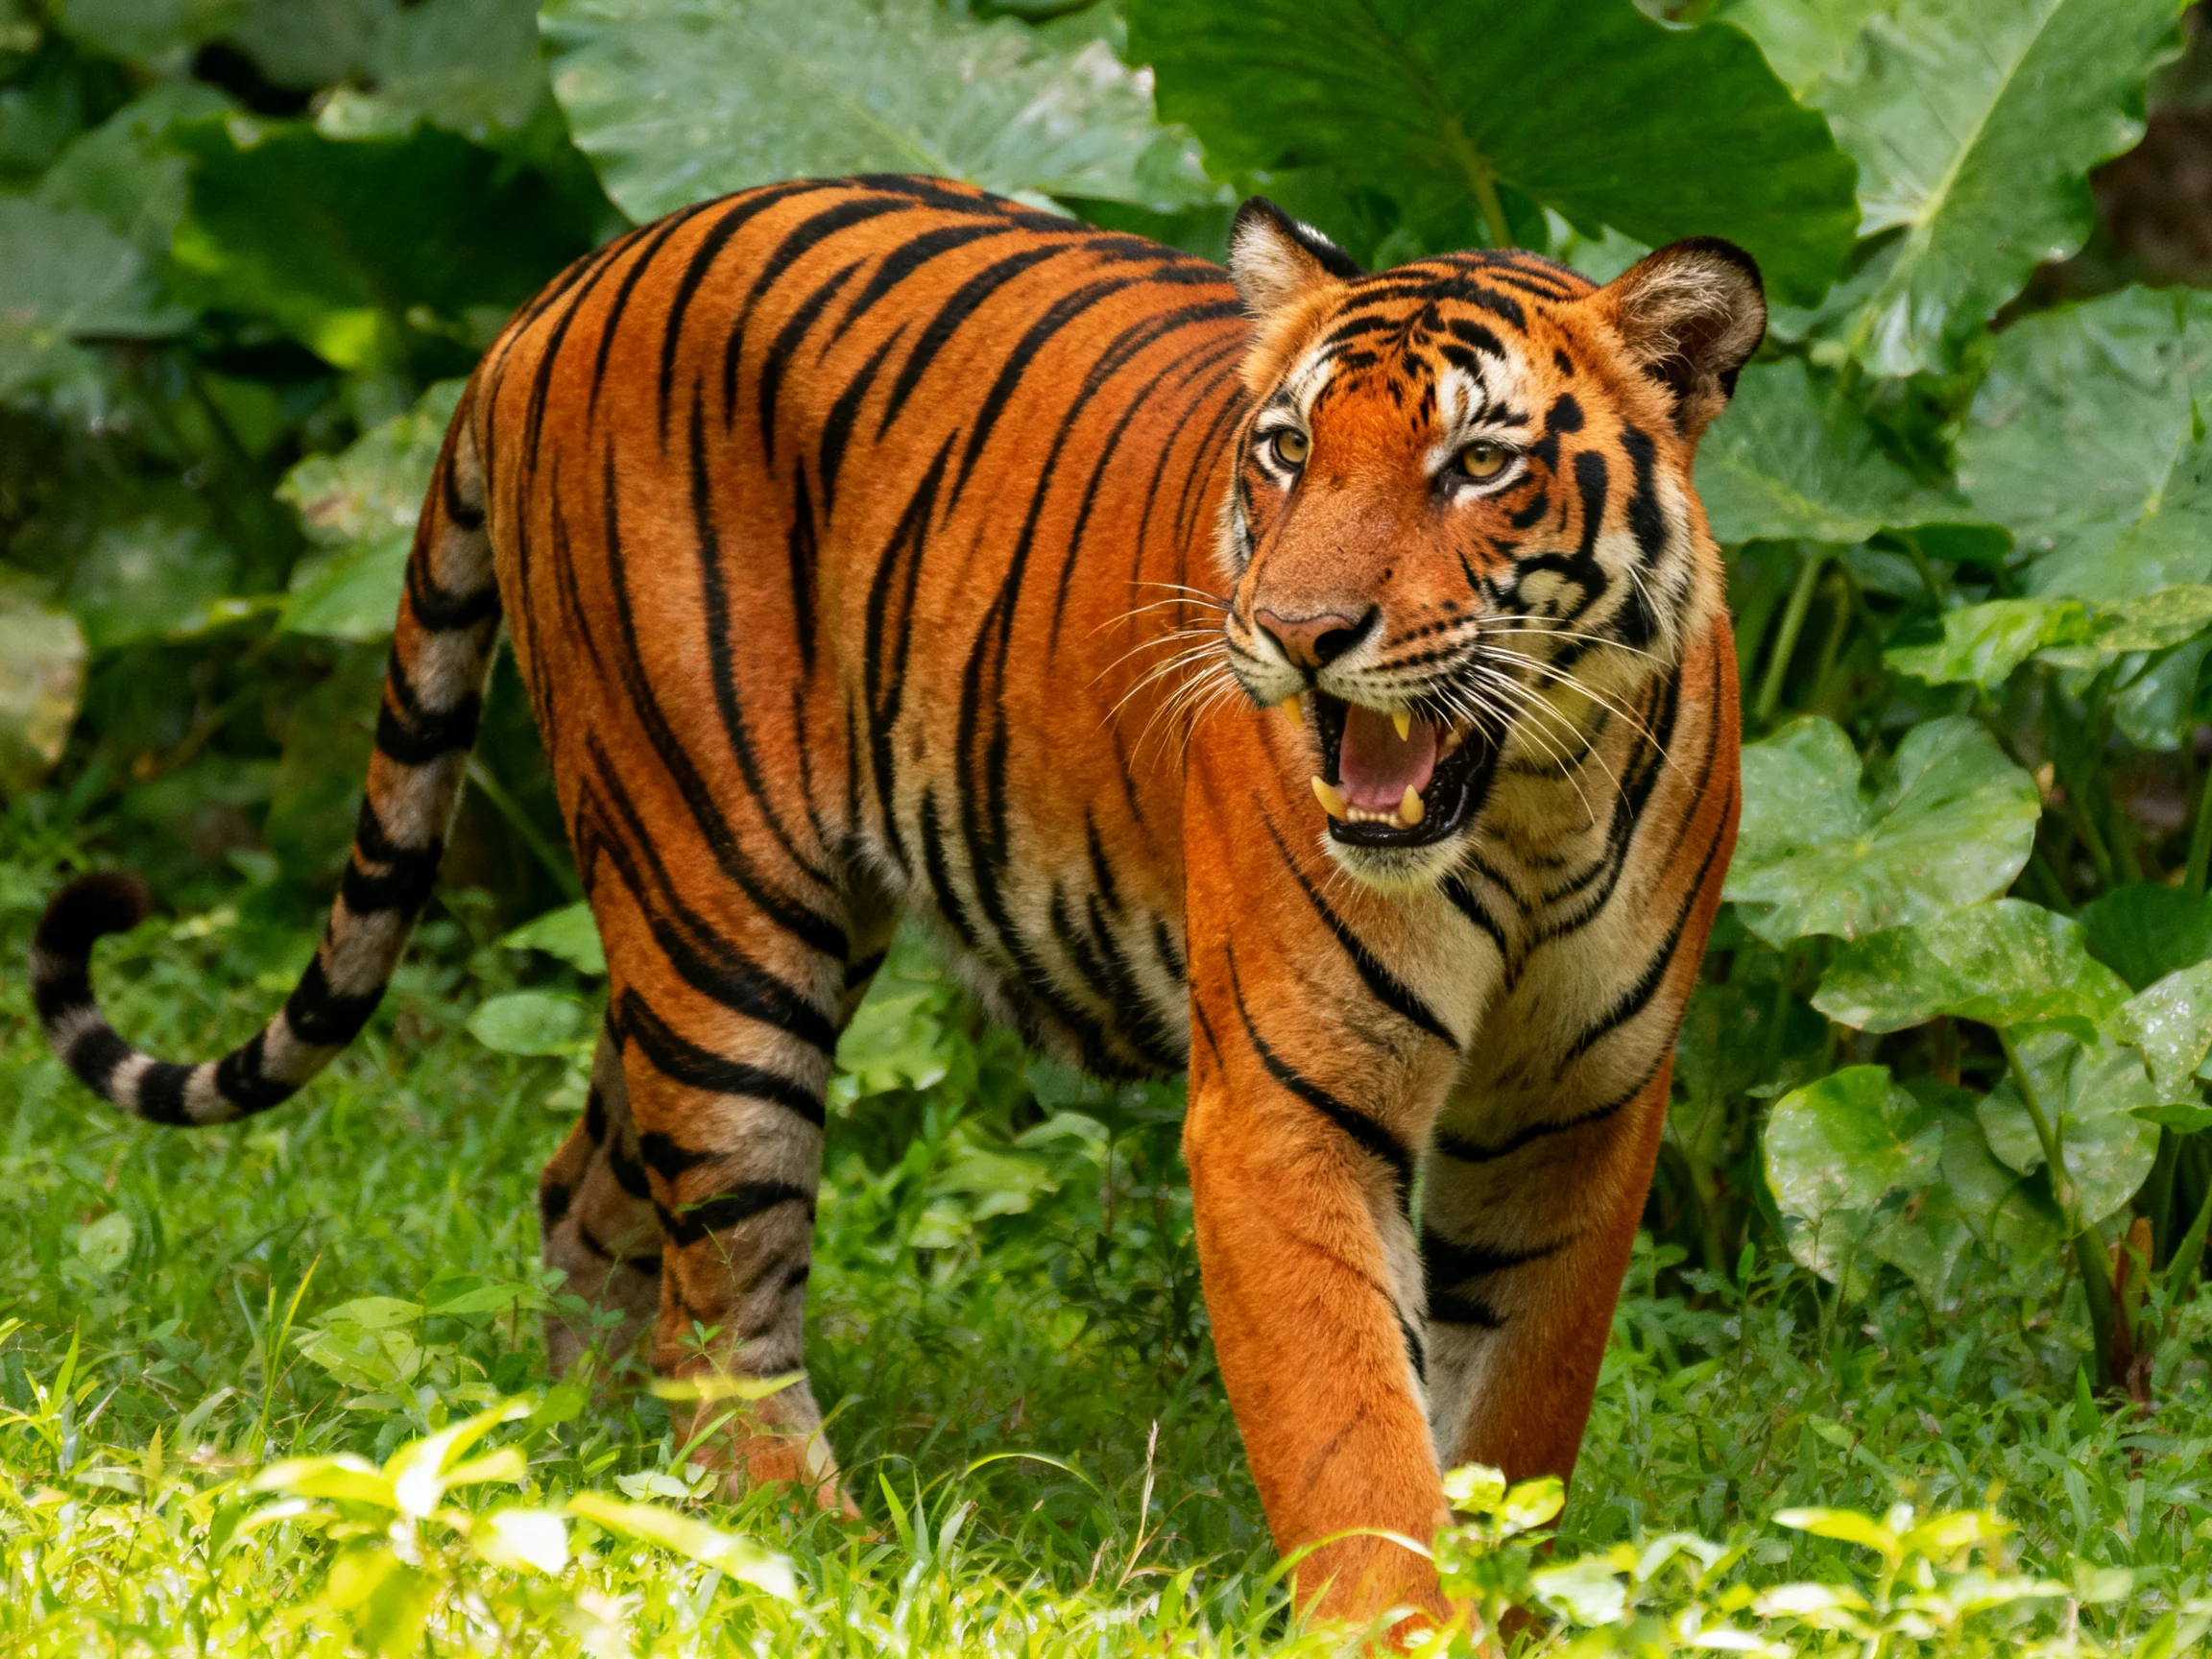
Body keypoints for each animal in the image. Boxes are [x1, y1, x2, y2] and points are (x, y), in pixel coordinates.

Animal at [34, 174, 1756, 1629]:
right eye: (1285, 453)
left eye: (1478, 465)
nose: (1296, 632)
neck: (1523, 809)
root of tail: (566, 284)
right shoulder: (1288, 1107)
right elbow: (1356, 1441)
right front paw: (1408, 1621)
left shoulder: (1578, 1112)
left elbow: (1514, 1419)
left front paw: (1526, 1606)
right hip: (722, 912)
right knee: (721, 1292)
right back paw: (797, 1542)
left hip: (697, 936)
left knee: (587, 1191)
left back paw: (580, 1468)